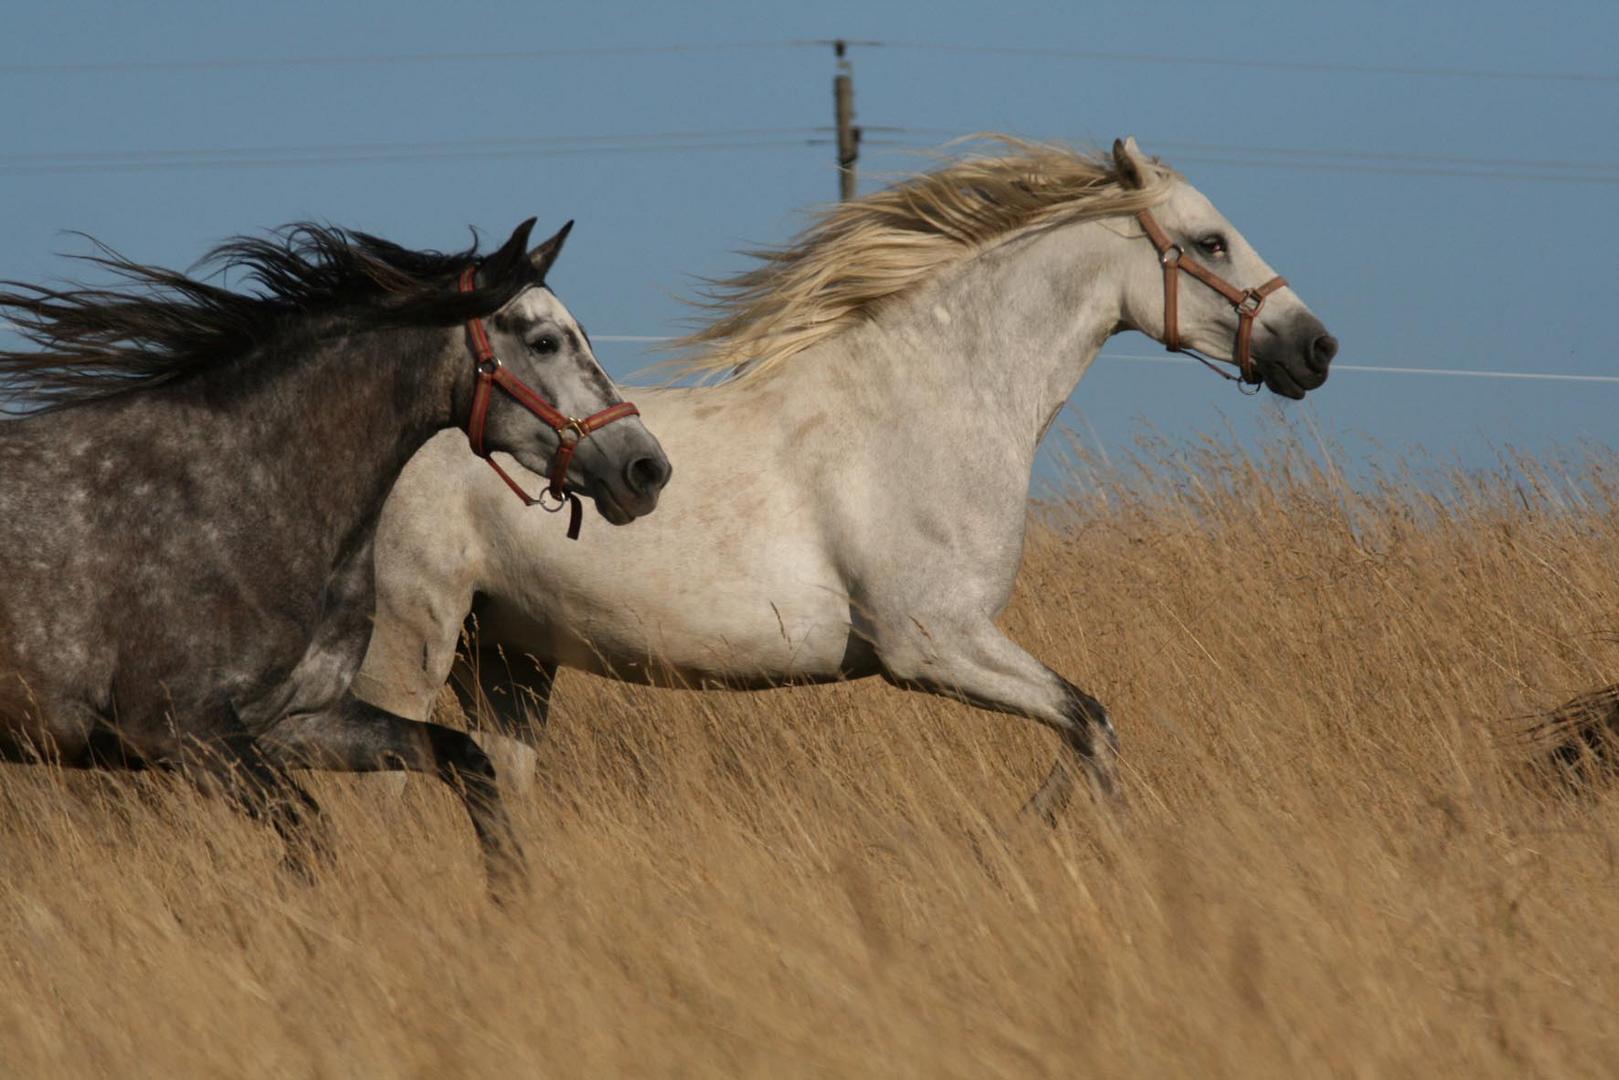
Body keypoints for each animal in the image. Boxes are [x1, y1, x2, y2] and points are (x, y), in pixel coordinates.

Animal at [0, 216, 670, 887]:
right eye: (544, 342)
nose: (647, 469)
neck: (239, 489)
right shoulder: (180, 732)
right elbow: (311, 833)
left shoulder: (296, 721)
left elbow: (464, 760)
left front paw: (511, 893)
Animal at [354, 135, 1340, 816]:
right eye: (1210, 243)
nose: (1315, 347)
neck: (927, 408)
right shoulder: (930, 644)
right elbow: (1089, 723)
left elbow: (1086, 726)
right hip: (411, 643)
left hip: (507, 659)